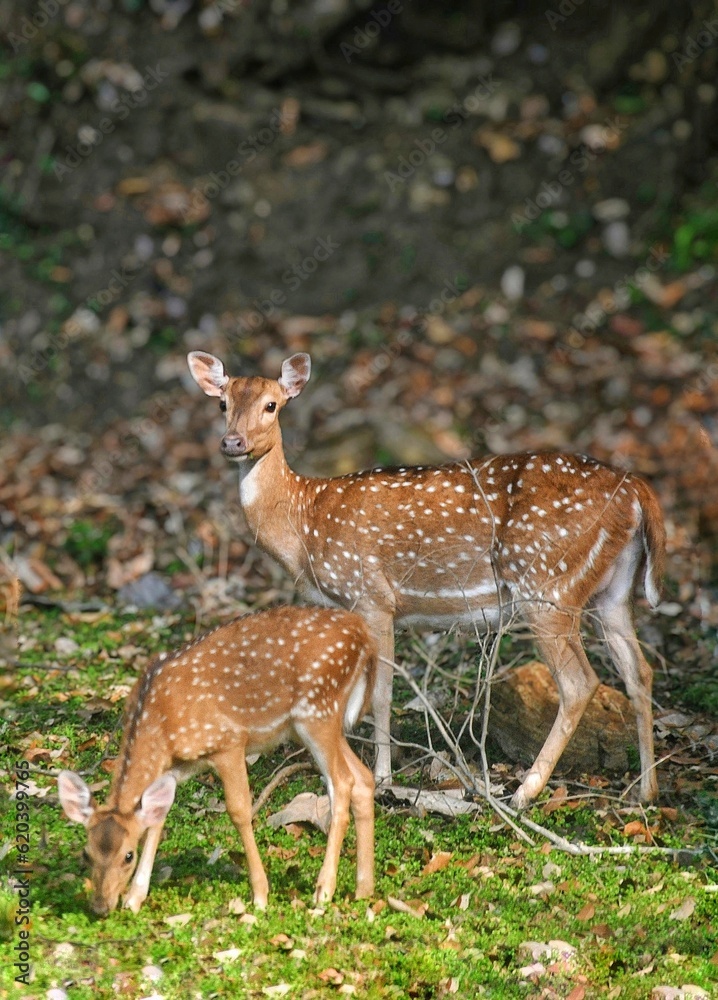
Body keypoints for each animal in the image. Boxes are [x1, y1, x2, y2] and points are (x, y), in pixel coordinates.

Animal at [57, 600, 376, 916]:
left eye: (127, 855)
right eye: (86, 853)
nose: (100, 907)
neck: (161, 722)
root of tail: (362, 631)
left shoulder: (228, 742)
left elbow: (239, 810)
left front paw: (260, 896)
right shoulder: (175, 767)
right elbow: (158, 819)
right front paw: (135, 898)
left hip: (318, 709)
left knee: (342, 782)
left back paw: (324, 891)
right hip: (312, 724)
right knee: (364, 777)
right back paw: (363, 889)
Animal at [188, 350, 668, 804]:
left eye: (272, 404)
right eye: (222, 403)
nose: (233, 441)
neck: (305, 523)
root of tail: (635, 489)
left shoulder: (371, 595)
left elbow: (381, 694)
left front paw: (382, 779)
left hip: (547, 582)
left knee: (579, 683)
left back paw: (524, 791)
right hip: (611, 590)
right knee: (638, 670)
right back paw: (643, 792)